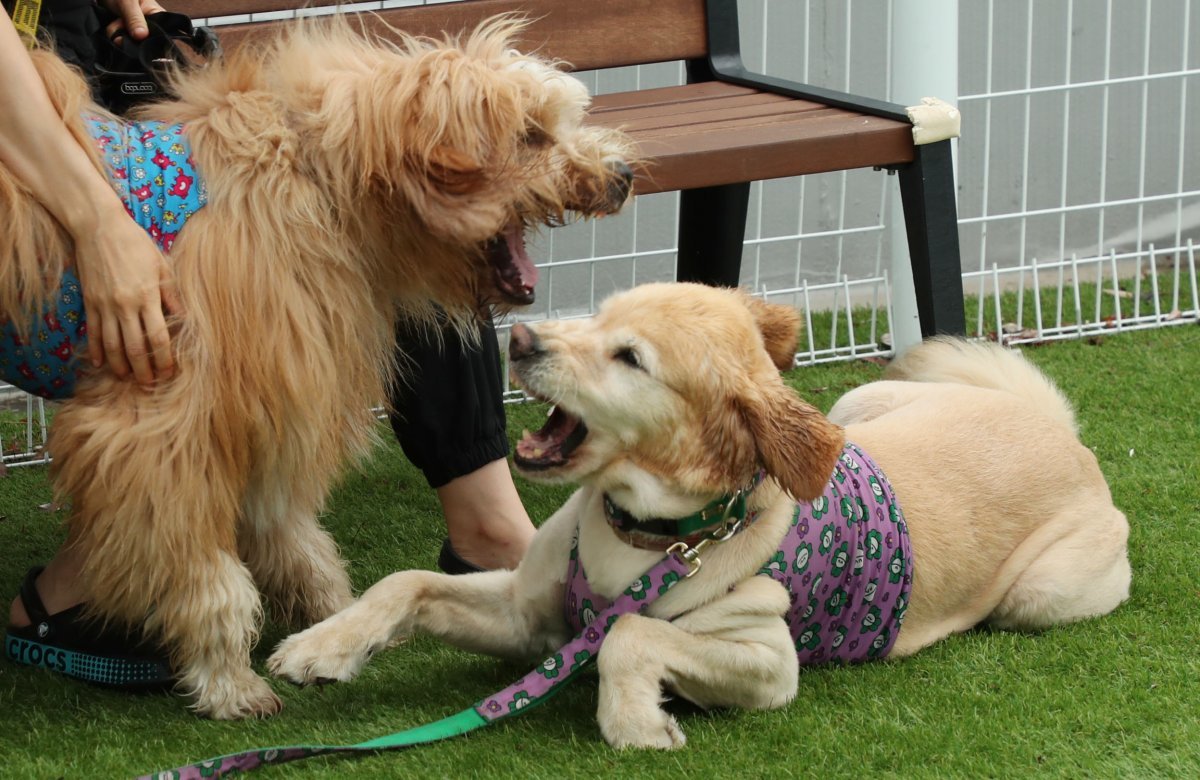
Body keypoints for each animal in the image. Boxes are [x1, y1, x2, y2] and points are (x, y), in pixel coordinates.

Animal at [0, 16, 633, 715]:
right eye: (530, 135)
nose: (623, 174)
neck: (319, 183)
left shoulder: (271, 401)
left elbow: (288, 531)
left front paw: (334, 619)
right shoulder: (158, 431)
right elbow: (205, 570)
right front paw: (229, 678)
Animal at [267, 280, 1128, 748]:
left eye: (631, 358)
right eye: (598, 316)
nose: (519, 338)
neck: (634, 534)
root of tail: (1061, 431)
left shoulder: (768, 661)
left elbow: (633, 634)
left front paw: (635, 723)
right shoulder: (524, 615)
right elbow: (404, 581)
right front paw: (319, 647)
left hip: (1040, 596)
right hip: (863, 401)